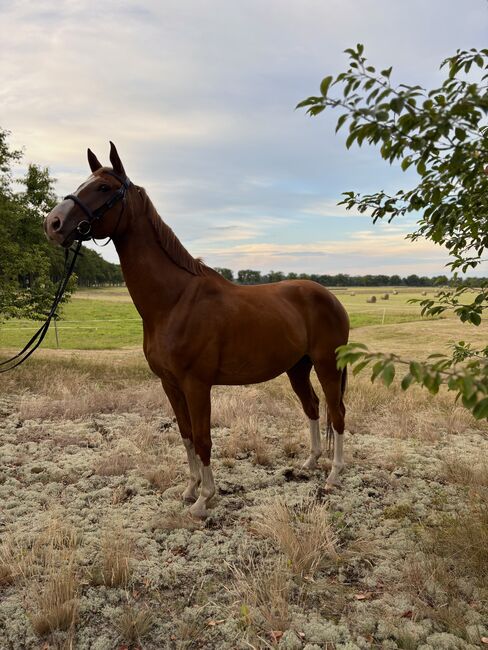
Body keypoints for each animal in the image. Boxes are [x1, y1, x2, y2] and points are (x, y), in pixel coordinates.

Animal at [44, 143, 350, 518]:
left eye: (103, 187)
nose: (53, 223)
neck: (175, 301)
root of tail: (329, 296)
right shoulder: (170, 384)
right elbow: (186, 434)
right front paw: (189, 490)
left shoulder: (196, 384)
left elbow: (203, 437)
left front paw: (205, 499)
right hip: (298, 368)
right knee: (313, 407)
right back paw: (310, 462)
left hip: (327, 364)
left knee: (337, 412)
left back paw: (333, 476)